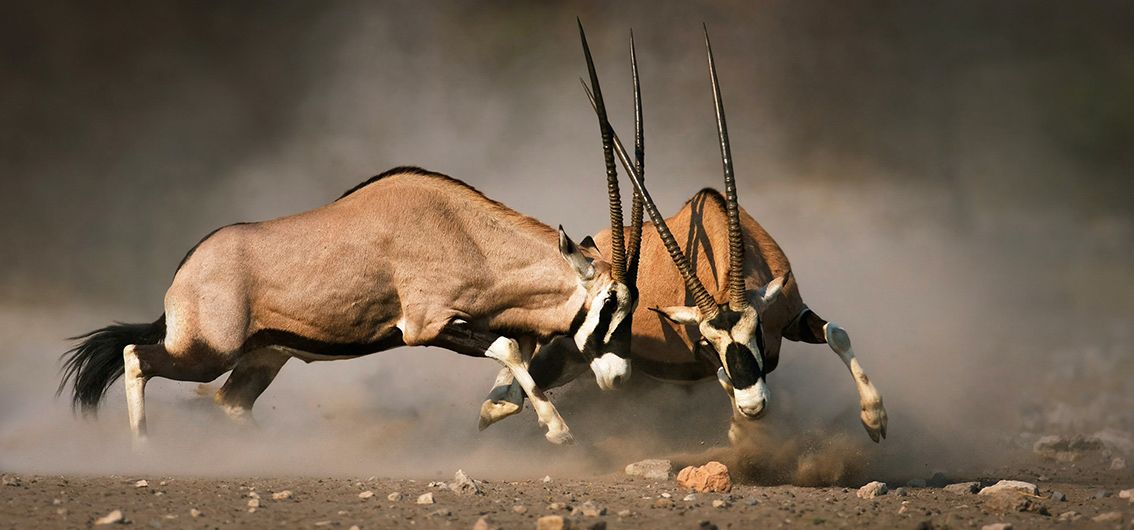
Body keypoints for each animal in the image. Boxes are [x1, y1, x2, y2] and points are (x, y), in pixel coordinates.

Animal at [59, 164, 639, 444]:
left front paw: (497, 410)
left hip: (264, 357)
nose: (619, 376)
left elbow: (517, 352)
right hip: (206, 353)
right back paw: (143, 447)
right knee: (137, 357)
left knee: (232, 403)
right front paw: (557, 429)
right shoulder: (426, 327)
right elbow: (509, 349)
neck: (464, 233)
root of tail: (184, 273)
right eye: (610, 303)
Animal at [478, 26, 884, 447]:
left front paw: (874, 418)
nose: (753, 407)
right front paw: (740, 433)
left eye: (756, 330)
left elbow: (837, 333)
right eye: (707, 342)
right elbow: (722, 376)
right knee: (505, 397)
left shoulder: (790, 315)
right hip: (565, 357)